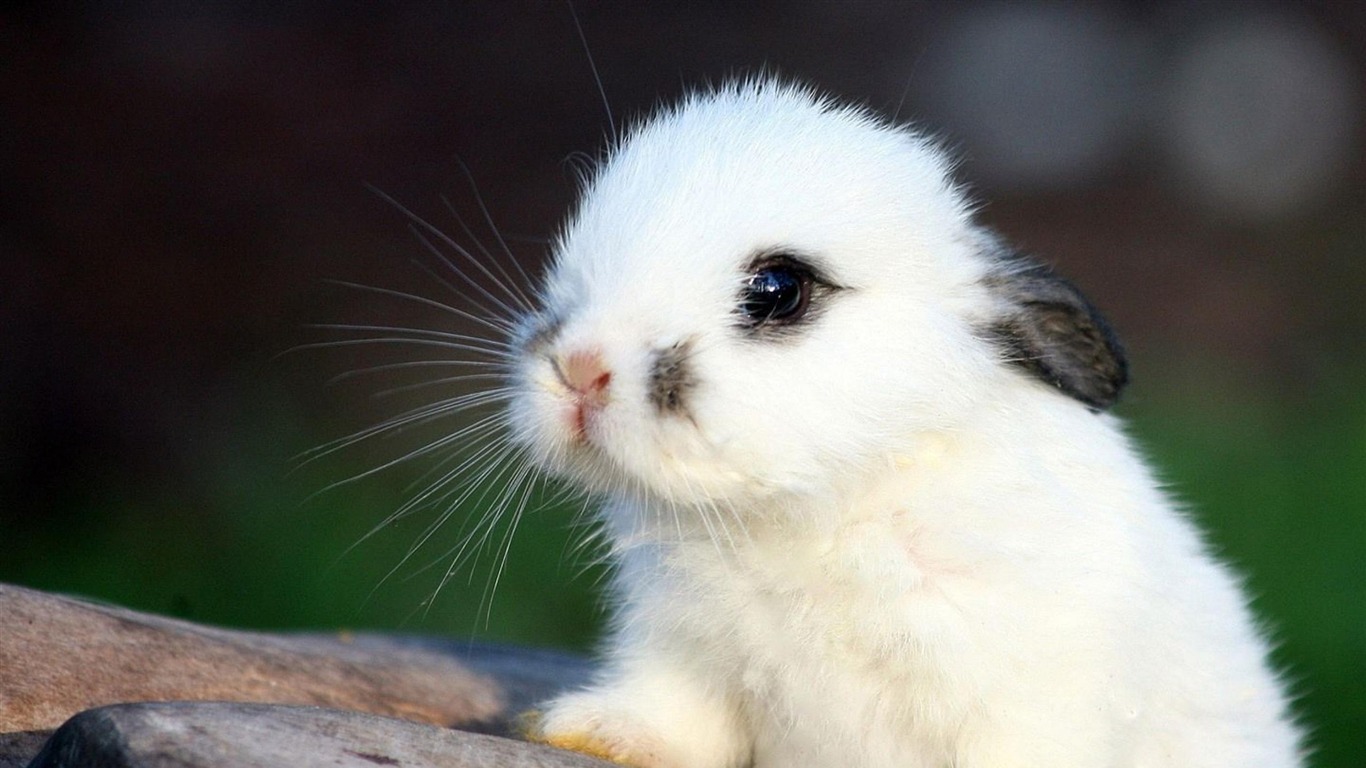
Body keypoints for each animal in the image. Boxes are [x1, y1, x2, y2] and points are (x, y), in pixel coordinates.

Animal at [503, 79, 1303, 768]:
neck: (819, 510)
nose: (579, 368)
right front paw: (589, 730)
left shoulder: (1029, 706)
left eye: (778, 290)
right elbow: (674, 718)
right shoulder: (681, 651)